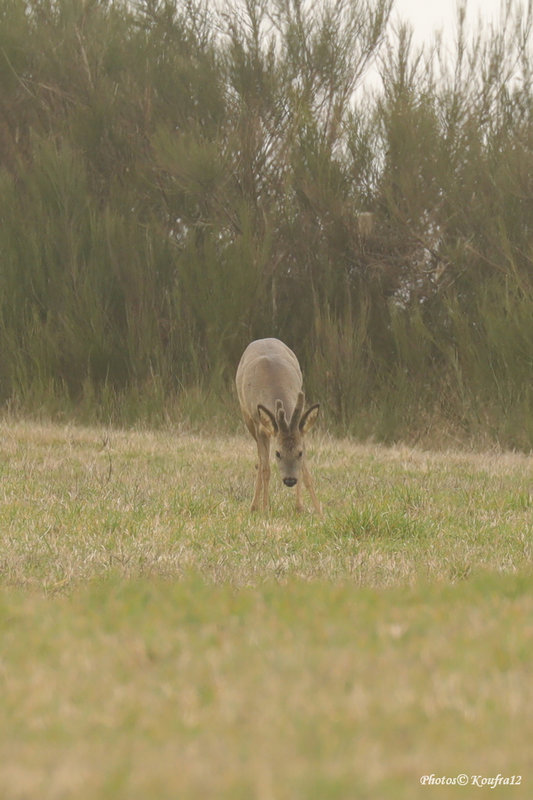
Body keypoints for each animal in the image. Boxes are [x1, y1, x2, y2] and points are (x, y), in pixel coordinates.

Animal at [235, 338, 322, 512]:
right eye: (278, 453)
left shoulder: (301, 432)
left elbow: (305, 472)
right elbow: (265, 469)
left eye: (300, 453)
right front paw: (265, 508)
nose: (289, 480)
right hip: (248, 419)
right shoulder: (259, 426)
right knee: (260, 462)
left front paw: (310, 508)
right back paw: (254, 506)